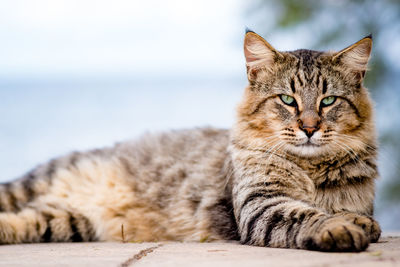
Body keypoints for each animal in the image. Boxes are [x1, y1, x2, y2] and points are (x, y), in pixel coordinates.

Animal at [0, 30, 382, 252]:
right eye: (287, 100)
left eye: (328, 101)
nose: (309, 128)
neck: (310, 170)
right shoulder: (262, 204)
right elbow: (307, 215)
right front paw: (338, 227)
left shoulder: (356, 200)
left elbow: (352, 213)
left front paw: (359, 224)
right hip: (33, 185)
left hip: (66, 220)